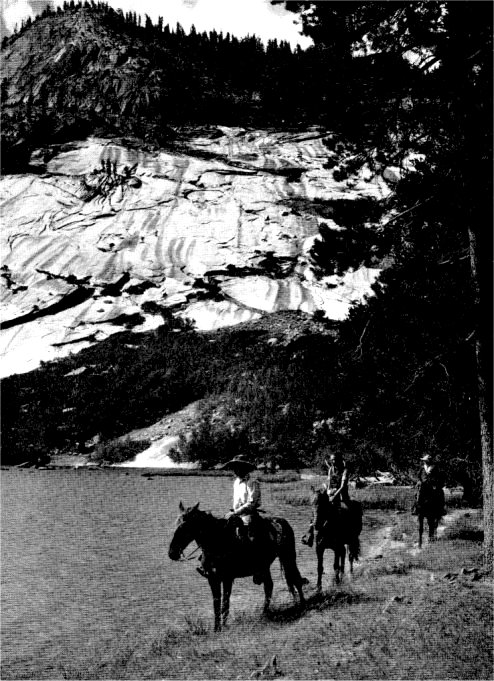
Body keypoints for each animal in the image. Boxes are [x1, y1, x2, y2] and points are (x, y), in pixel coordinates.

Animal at [170, 500, 304, 632]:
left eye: (184, 527)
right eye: (176, 524)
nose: (172, 553)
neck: (217, 542)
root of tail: (282, 521)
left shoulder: (227, 579)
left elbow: (225, 601)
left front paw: (223, 626)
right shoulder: (213, 579)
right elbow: (216, 602)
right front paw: (216, 628)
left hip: (288, 558)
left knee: (295, 579)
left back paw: (301, 605)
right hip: (265, 566)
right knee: (269, 586)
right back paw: (264, 613)